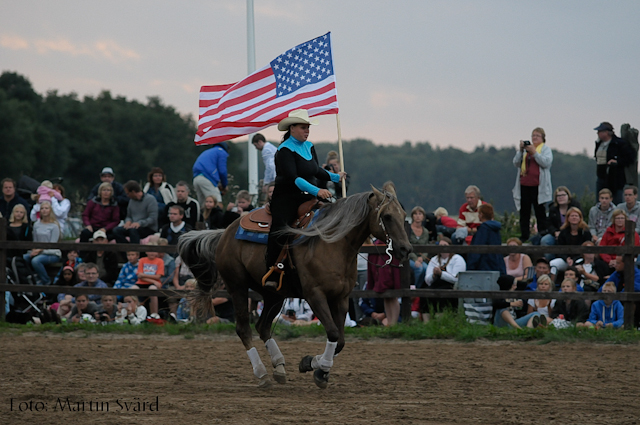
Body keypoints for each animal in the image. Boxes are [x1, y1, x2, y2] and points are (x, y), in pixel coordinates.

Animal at [178, 186, 412, 388]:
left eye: (403, 215)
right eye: (387, 216)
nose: (406, 249)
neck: (332, 243)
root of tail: (225, 232)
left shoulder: (341, 298)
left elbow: (340, 340)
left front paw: (311, 363)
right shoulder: (315, 295)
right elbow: (333, 333)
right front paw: (319, 370)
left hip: (274, 294)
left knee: (262, 327)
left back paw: (279, 367)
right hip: (237, 287)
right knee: (244, 329)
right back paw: (262, 373)